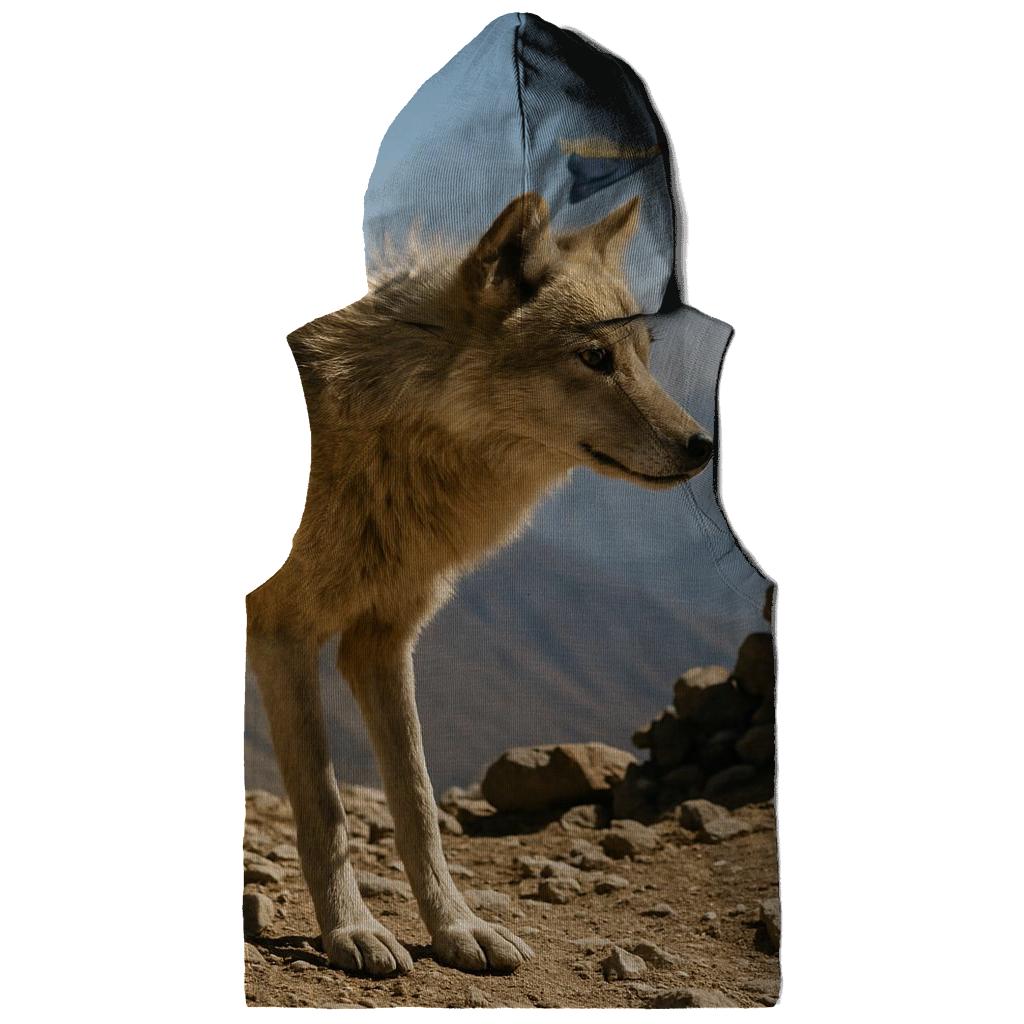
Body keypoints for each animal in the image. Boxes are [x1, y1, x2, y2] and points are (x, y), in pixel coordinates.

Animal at [246, 192, 714, 976]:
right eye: (595, 358)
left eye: (643, 359)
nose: (703, 445)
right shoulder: (284, 633)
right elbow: (326, 807)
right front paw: (353, 932)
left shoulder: (381, 643)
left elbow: (418, 804)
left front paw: (457, 929)